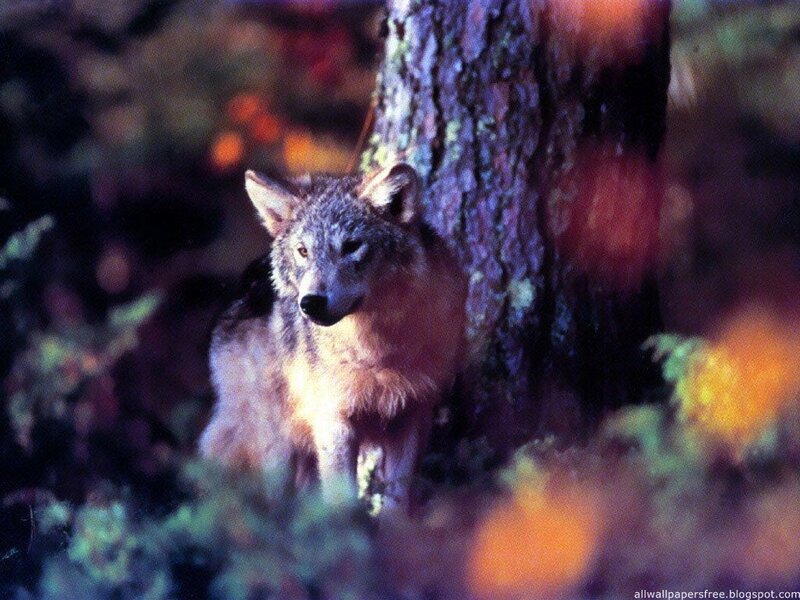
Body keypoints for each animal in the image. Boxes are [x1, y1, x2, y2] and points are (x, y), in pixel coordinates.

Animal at [199, 163, 467, 511]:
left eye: (352, 246)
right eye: (303, 251)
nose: (310, 302)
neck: (376, 351)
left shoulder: (411, 416)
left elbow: (397, 499)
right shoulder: (334, 422)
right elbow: (343, 500)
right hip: (278, 441)